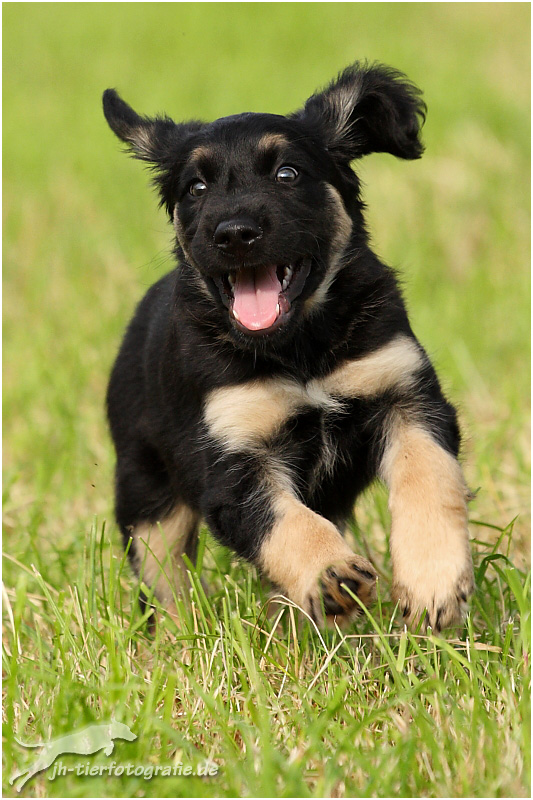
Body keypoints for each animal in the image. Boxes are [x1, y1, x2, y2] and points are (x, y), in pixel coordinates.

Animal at [104, 62, 474, 632]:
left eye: (288, 174)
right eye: (196, 187)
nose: (234, 233)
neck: (300, 349)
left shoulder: (405, 394)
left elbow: (428, 474)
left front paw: (432, 580)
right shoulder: (231, 459)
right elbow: (287, 522)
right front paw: (330, 573)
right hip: (145, 489)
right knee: (162, 577)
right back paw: (173, 638)